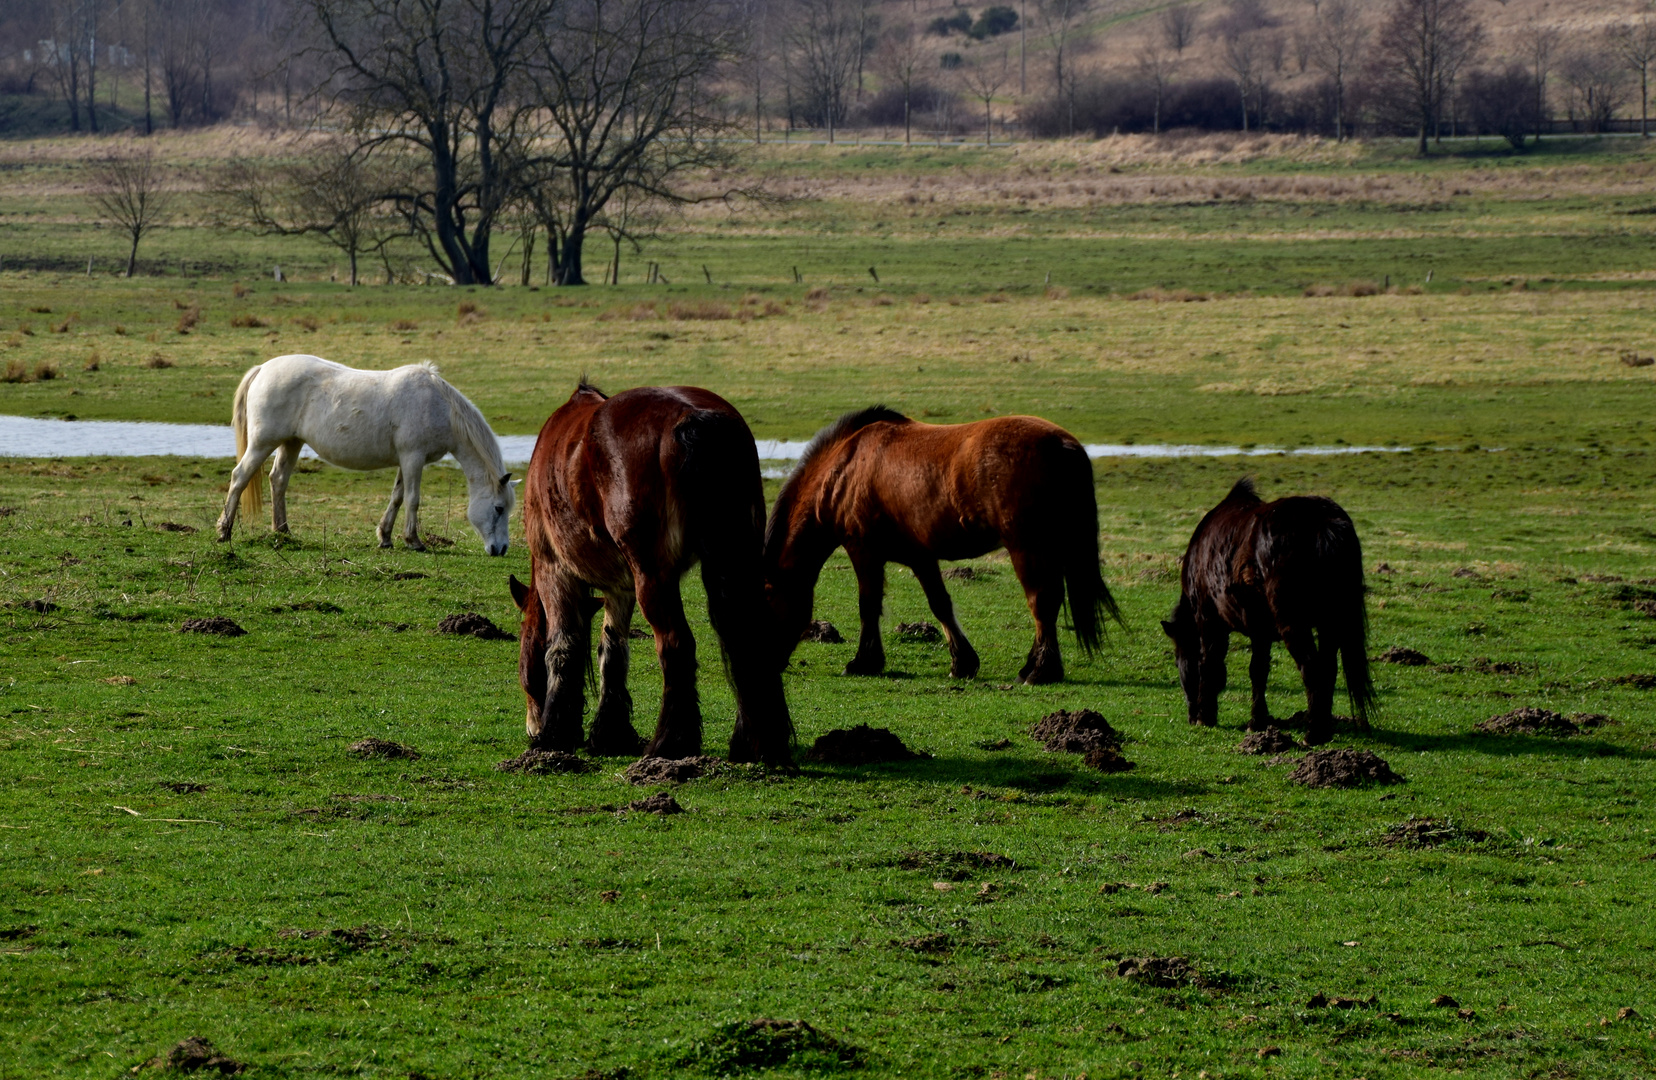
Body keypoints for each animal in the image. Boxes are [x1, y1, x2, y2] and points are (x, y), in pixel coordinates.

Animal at [220, 354, 513, 556]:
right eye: (498, 508)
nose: (500, 549)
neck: (439, 406)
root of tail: (263, 369)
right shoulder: (413, 458)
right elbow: (413, 499)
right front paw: (414, 541)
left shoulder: (406, 461)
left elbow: (397, 497)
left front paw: (385, 537)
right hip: (263, 443)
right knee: (239, 477)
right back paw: (224, 530)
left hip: (291, 443)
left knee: (278, 480)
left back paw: (283, 531)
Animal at [510, 384, 794, 761]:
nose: (532, 727)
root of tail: (693, 417)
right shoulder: (620, 588)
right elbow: (613, 651)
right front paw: (609, 734)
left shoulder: (553, 569)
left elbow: (562, 646)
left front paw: (555, 734)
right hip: (738, 562)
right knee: (747, 636)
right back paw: (754, 742)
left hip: (653, 577)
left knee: (676, 644)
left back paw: (670, 742)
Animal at [768, 404, 1119, 682]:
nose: (770, 664)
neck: (844, 467)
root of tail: (1063, 445)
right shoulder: (920, 556)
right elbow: (940, 604)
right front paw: (963, 663)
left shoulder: (863, 550)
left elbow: (868, 605)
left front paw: (863, 663)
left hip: (1028, 547)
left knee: (1041, 602)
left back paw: (1040, 671)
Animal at [1165, 477, 1384, 745]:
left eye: (1178, 660)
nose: (1190, 715)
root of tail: (1324, 523)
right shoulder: (1260, 630)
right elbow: (1258, 671)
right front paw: (1257, 721)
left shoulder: (1209, 620)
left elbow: (1211, 662)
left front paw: (1206, 717)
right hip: (1330, 624)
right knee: (1328, 669)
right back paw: (1323, 728)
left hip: (1294, 624)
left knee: (1312, 669)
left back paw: (1313, 734)